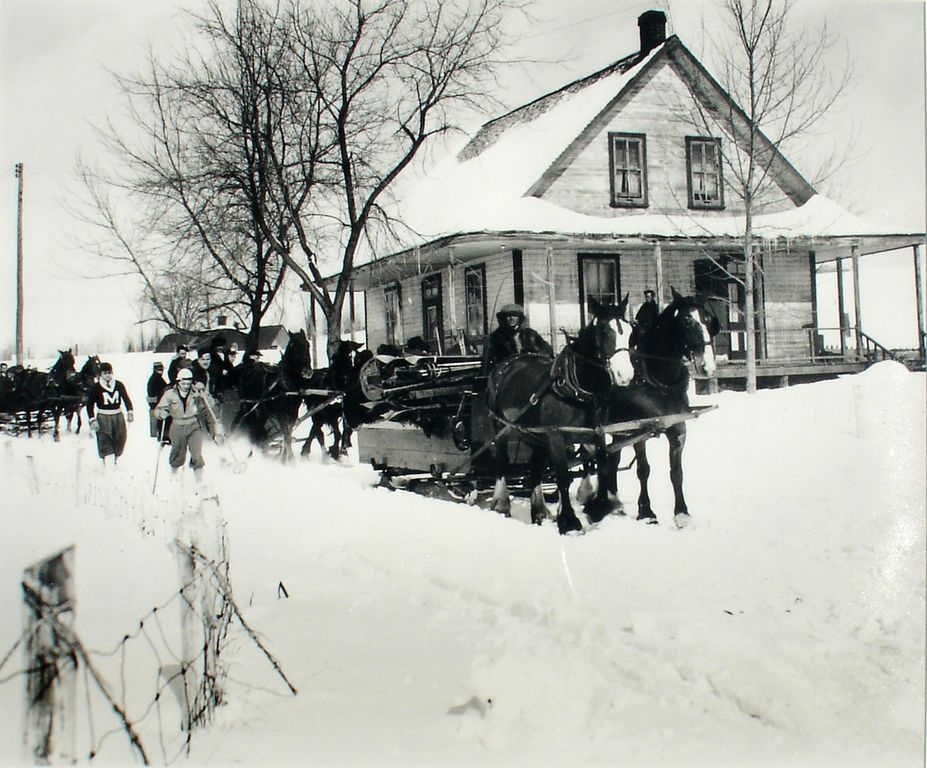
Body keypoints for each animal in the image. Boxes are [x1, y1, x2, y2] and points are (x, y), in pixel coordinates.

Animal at [234, 330, 314, 462]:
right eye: (293, 345)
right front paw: (290, 460)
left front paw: (285, 458)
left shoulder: (293, 414)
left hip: (262, 412)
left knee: (256, 431)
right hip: (249, 407)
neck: (285, 384)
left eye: (308, 345)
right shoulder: (280, 412)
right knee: (245, 427)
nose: (307, 372)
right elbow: (286, 435)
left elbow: (288, 434)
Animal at [482, 296, 636, 536]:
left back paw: (539, 509)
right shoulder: (556, 436)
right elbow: (563, 476)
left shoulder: (595, 433)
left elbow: (602, 465)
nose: (625, 375)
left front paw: (599, 507)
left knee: (535, 467)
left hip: (533, 433)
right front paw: (569, 522)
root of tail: (505, 365)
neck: (578, 388)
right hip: (501, 426)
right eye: (603, 331)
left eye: (629, 331)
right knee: (502, 461)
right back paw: (502, 503)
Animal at [592, 284, 720, 532]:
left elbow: (676, 472)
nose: (707, 366)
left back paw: (613, 499)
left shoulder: (678, 429)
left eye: (708, 319)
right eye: (687, 321)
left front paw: (682, 514)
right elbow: (644, 469)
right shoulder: (639, 431)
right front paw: (646, 512)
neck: (659, 380)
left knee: (611, 458)